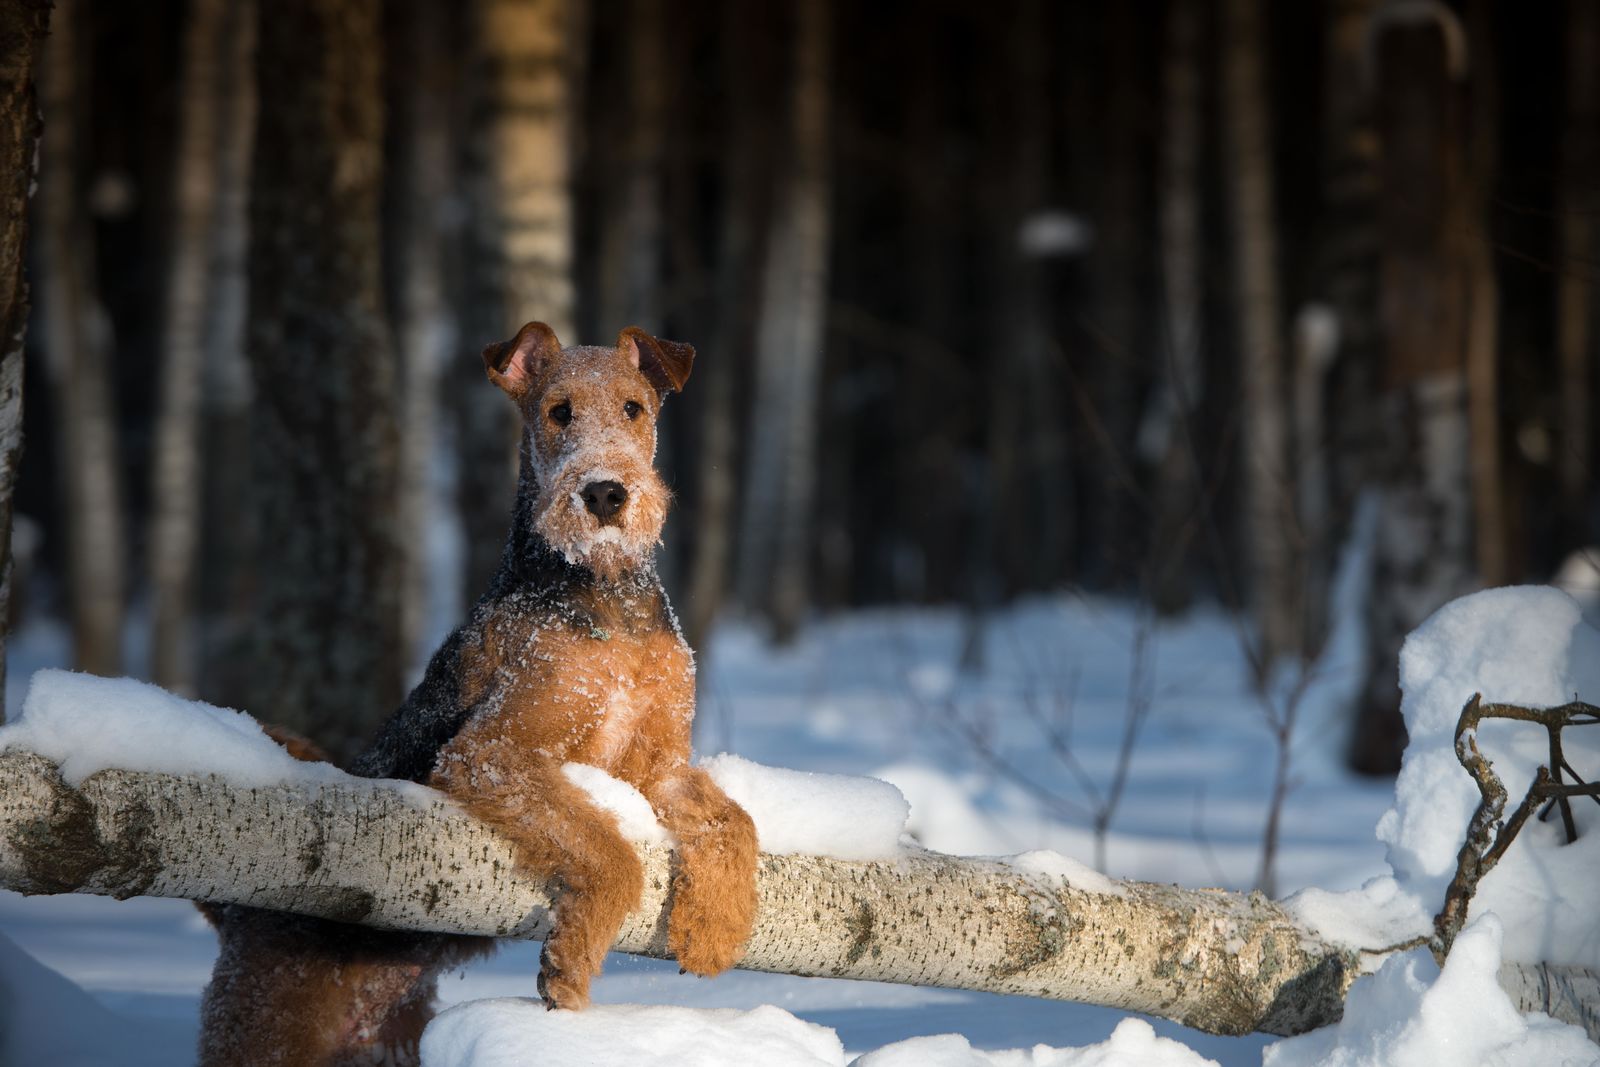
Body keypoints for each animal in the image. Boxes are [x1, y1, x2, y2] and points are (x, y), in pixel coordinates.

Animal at [200, 326, 761, 1067]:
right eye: (559, 411)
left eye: (635, 407)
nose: (604, 494)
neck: (603, 588)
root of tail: (236, 911)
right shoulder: (491, 753)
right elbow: (610, 854)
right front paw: (566, 969)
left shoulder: (656, 764)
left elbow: (733, 821)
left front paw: (713, 933)